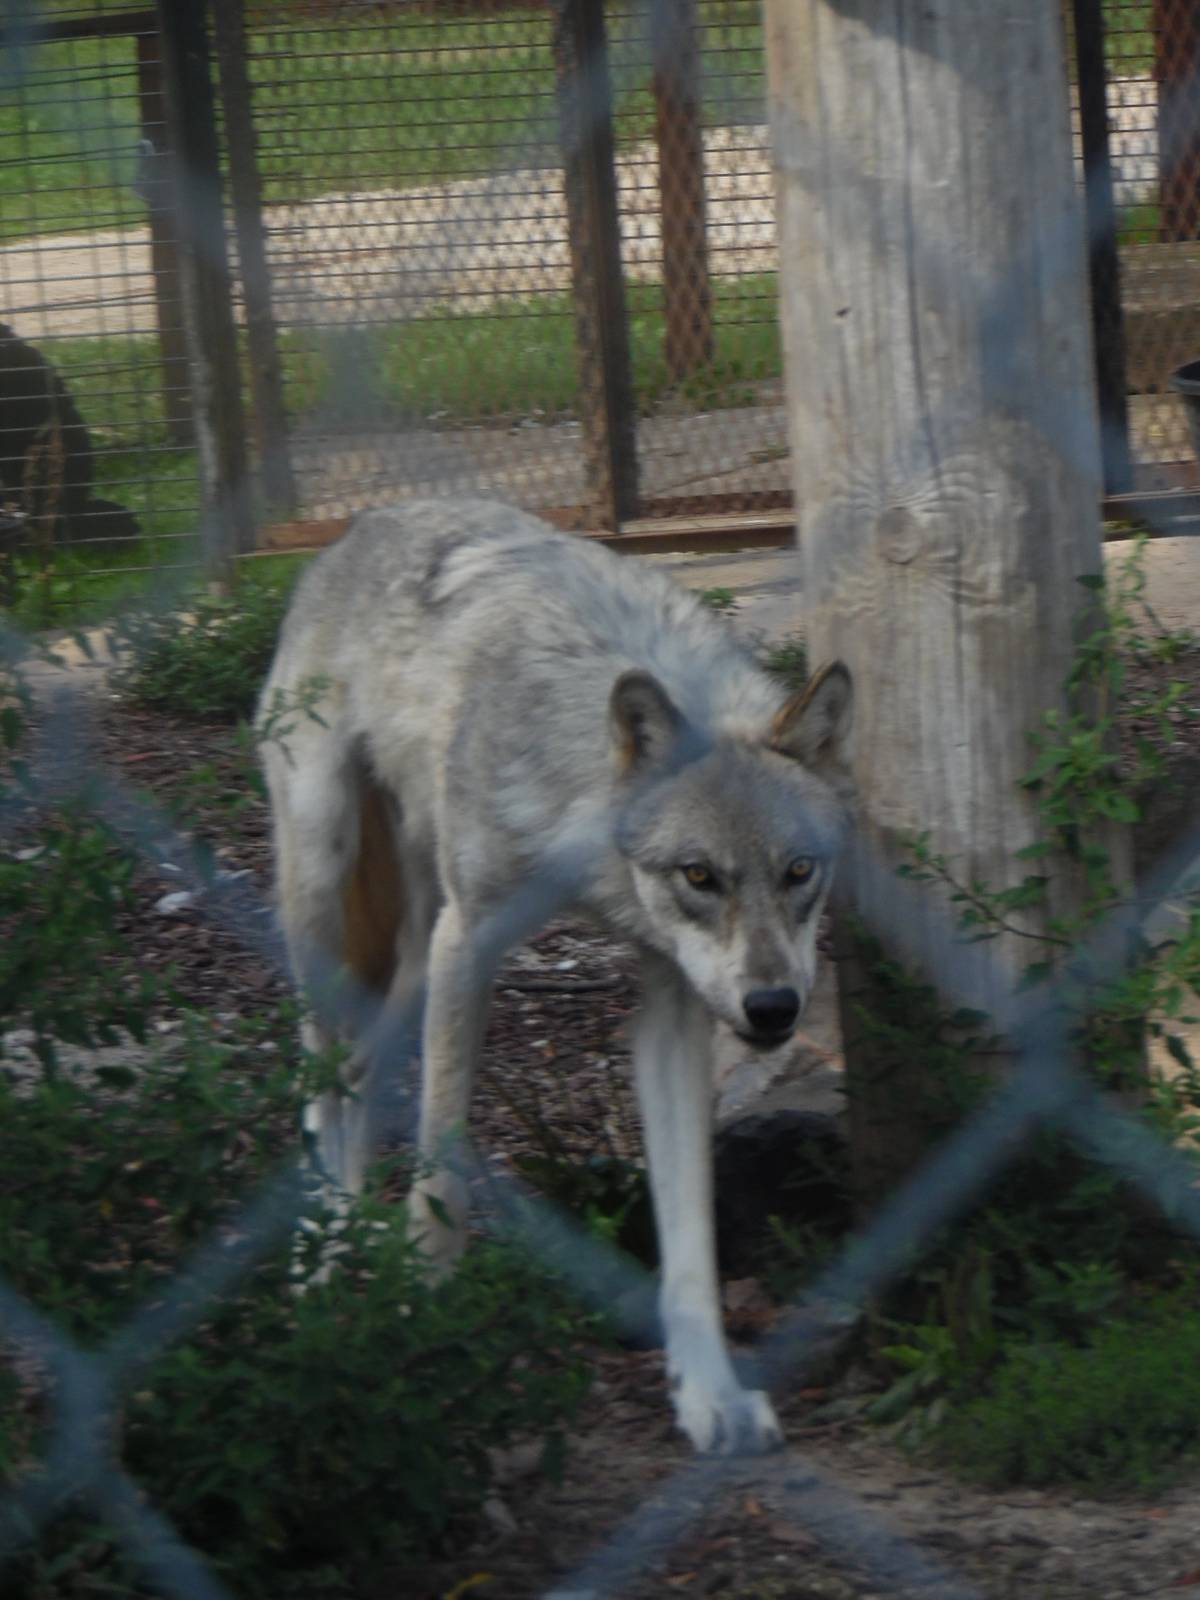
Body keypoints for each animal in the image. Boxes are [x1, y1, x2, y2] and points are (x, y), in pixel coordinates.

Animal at [258, 498, 853, 1455]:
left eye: (799, 872)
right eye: (700, 876)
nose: (771, 1009)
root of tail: (361, 524)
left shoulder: (672, 1003)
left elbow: (691, 1234)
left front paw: (711, 1397)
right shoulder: (471, 946)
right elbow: (442, 1186)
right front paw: (421, 1328)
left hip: (411, 960)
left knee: (362, 1071)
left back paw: (344, 1234)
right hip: (328, 893)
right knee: (320, 1075)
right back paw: (321, 1255)